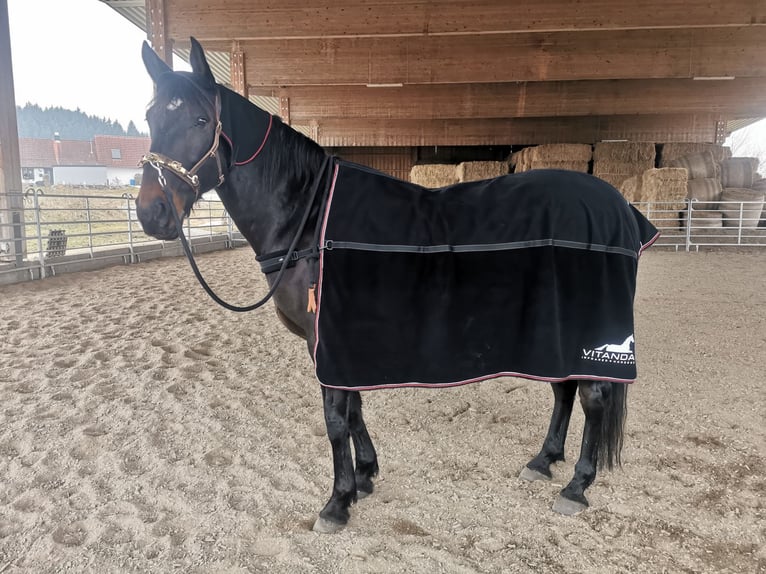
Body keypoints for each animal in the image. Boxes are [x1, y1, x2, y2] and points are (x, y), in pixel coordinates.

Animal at [134, 39, 660, 536]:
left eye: (201, 119)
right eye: (151, 116)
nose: (152, 213)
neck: (310, 220)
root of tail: (616, 206)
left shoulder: (329, 341)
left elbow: (336, 418)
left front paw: (337, 502)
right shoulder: (335, 344)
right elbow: (353, 409)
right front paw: (364, 476)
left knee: (592, 397)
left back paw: (576, 485)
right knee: (564, 391)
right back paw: (544, 460)